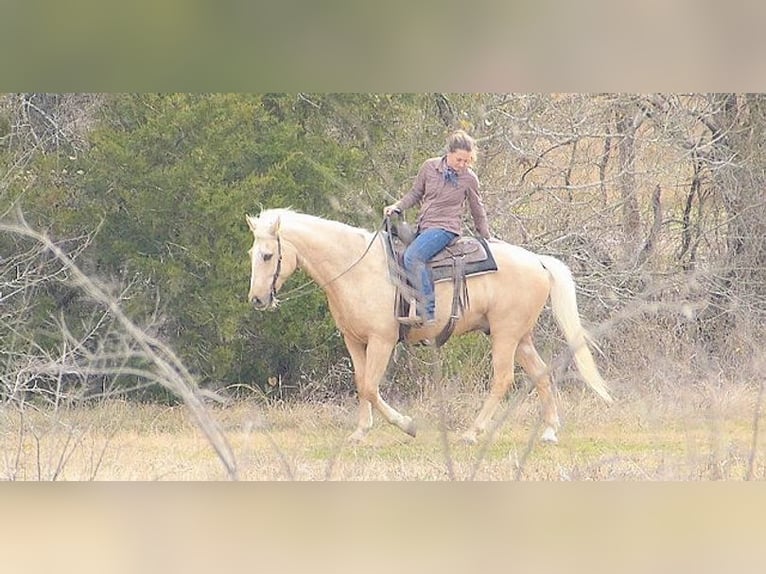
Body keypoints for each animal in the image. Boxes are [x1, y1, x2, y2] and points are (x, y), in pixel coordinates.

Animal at [246, 208, 612, 444]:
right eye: (252, 253)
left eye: (267, 255)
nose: (257, 300)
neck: (357, 269)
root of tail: (537, 260)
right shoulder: (354, 341)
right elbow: (361, 384)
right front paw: (360, 432)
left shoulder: (382, 340)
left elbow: (370, 387)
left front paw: (407, 425)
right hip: (520, 336)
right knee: (541, 373)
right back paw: (549, 430)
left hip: (506, 335)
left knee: (503, 379)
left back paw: (472, 433)